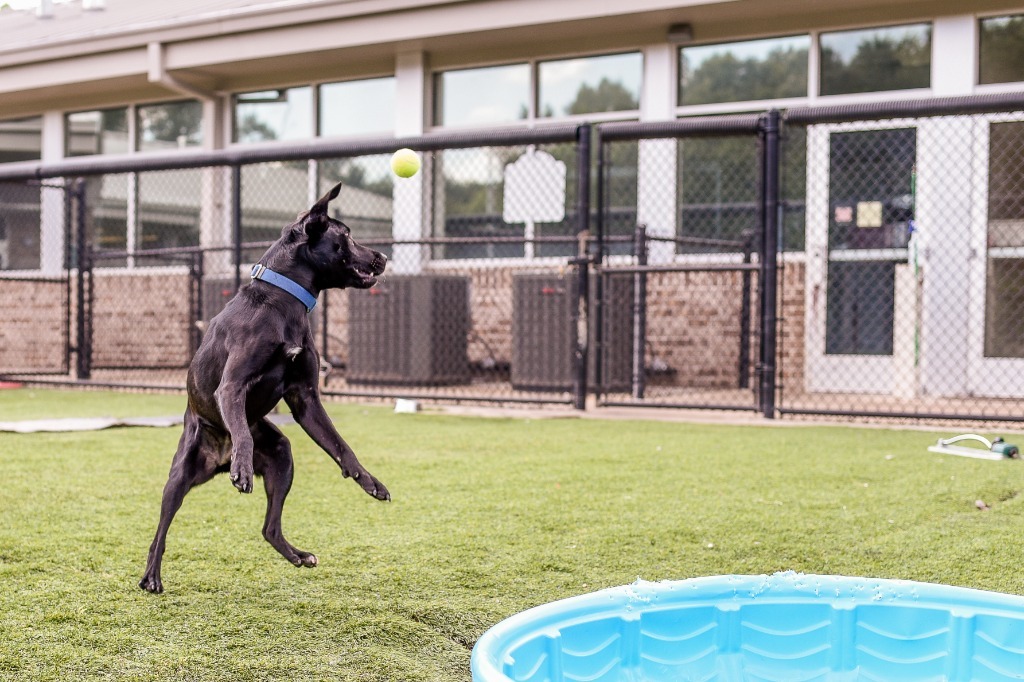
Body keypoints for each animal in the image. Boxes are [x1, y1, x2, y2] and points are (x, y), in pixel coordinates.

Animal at [138, 183, 385, 593]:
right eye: (348, 236)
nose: (382, 257)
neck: (283, 301)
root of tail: (216, 459)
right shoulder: (231, 387)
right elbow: (241, 429)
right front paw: (242, 467)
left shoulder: (306, 400)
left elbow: (340, 445)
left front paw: (368, 480)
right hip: (178, 477)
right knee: (160, 531)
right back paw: (151, 576)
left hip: (282, 456)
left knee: (270, 528)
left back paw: (298, 554)